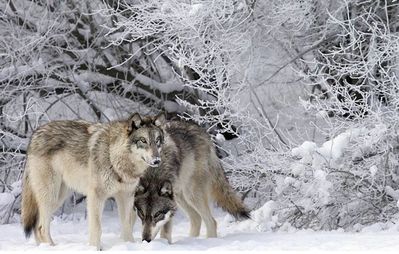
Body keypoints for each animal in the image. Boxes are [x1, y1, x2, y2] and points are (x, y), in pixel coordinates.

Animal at [19, 113, 167, 250]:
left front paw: (129, 245)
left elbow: (126, 226)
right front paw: (94, 248)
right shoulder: (96, 196)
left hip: (58, 198)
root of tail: (35, 134)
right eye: (143, 140)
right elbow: (97, 228)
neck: (114, 157)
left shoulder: (126, 197)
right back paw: (52, 247)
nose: (157, 160)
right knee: (41, 227)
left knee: (36, 226)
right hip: (50, 195)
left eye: (157, 141)